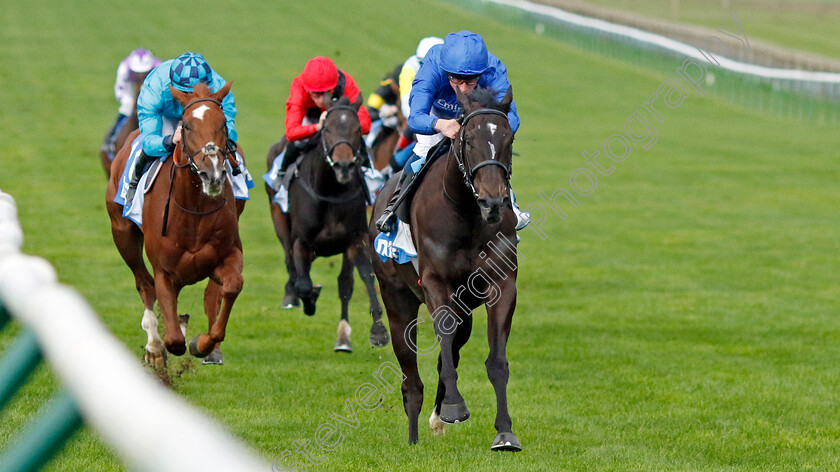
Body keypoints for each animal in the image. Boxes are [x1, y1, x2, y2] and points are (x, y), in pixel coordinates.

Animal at [105, 83, 243, 366]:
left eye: (223, 123)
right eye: (187, 125)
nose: (213, 174)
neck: (194, 212)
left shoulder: (224, 257)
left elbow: (232, 286)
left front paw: (202, 344)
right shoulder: (165, 273)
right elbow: (174, 340)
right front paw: (164, 343)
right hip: (122, 235)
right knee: (144, 283)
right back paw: (154, 347)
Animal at [264, 96, 388, 352]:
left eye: (358, 129)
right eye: (327, 129)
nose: (343, 165)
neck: (330, 190)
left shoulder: (355, 240)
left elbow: (361, 279)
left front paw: (377, 331)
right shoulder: (302, 242)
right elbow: (303, 282)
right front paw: (308, 299)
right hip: (278, 219)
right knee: (291, 264)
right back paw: (292, 296)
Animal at [370, 86, 520, 452]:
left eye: (508, 138)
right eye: (468, 140)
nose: (493, 203)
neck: (465, 215)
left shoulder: (501, 284)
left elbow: (495, 360)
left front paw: (505, 432)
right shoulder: (436, 282)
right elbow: (444, 339)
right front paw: (453, 407)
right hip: (397, 298)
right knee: (410, 376)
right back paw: (413, 434)